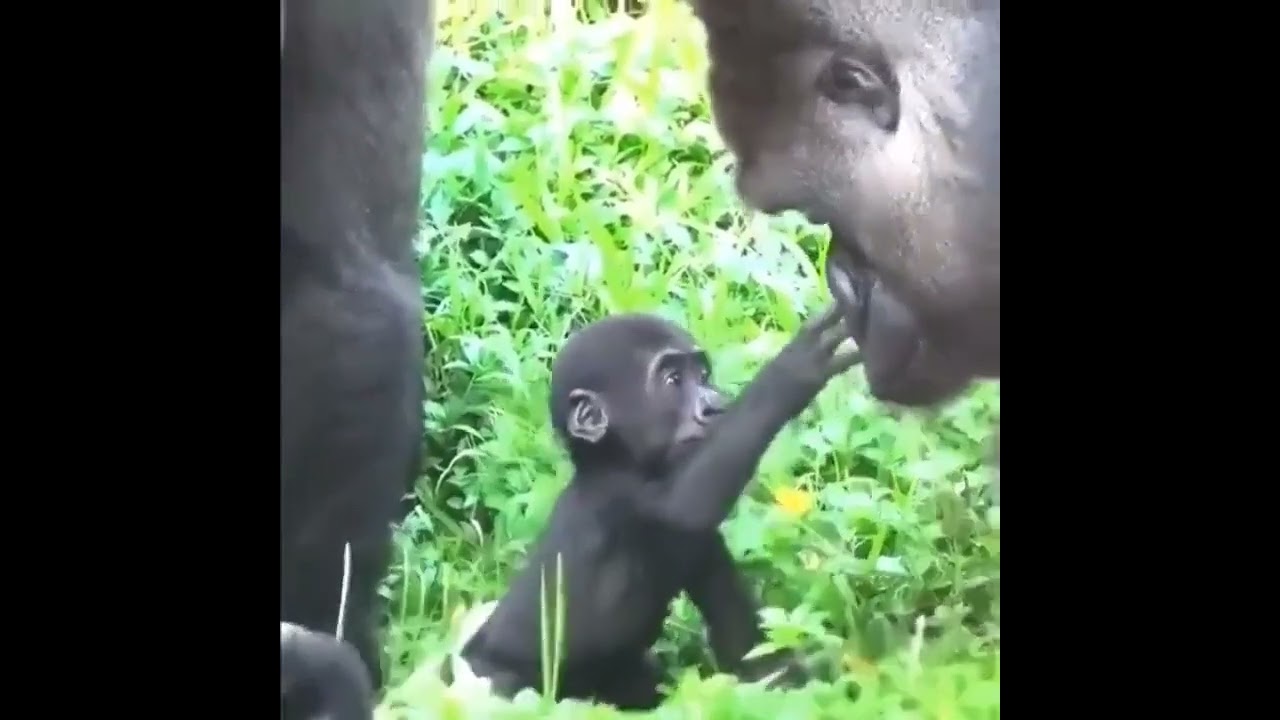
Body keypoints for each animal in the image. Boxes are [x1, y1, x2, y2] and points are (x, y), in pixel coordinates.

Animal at [452, 307, 860, 710]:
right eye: (673, 380)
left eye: (703, 376)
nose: (714, 406)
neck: (613, 460)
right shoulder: (621, 496)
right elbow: (687, 501)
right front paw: (799, 365)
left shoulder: (703, 544)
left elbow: (753, 655)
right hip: (486, 681)